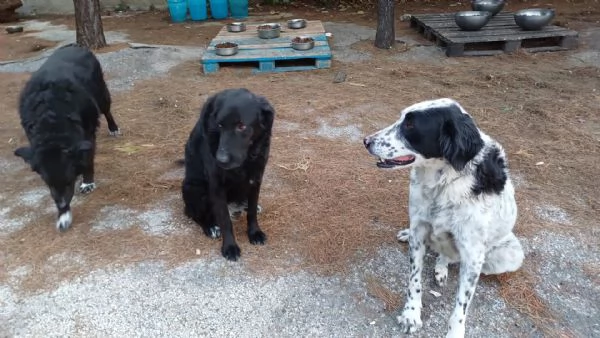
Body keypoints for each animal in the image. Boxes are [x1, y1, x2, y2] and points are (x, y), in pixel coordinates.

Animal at [13, 43, 119, 231]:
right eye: (48, 183)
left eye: (70, 181)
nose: (62, 205)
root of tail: (75, 45)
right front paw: (63, 216)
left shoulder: (87, 135)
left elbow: (87, 161)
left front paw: (87, 183)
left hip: (101, 94)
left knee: (107, 110)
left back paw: (113, 127)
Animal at [179, 88, 276, 262]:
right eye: (219, 125)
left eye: (241, 126)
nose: (221, 160)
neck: (246, 159)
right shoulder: (217, 186)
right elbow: (225, 220)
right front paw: (230, 247)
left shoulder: (256, 178)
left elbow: (251, 212)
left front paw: (254, 233)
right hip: (192, 187)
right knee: (193, 213)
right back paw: (211, 227)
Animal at [364, 97, 524, 338]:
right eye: (401, 118)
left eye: (410, 125)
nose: (366, 141)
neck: (443, 183)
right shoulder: (419, 230)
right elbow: (414, 280)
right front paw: (411, 314)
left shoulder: (473, 256)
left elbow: (460, 307)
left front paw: (454, 332)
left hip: (508, 254)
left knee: (448, 256)